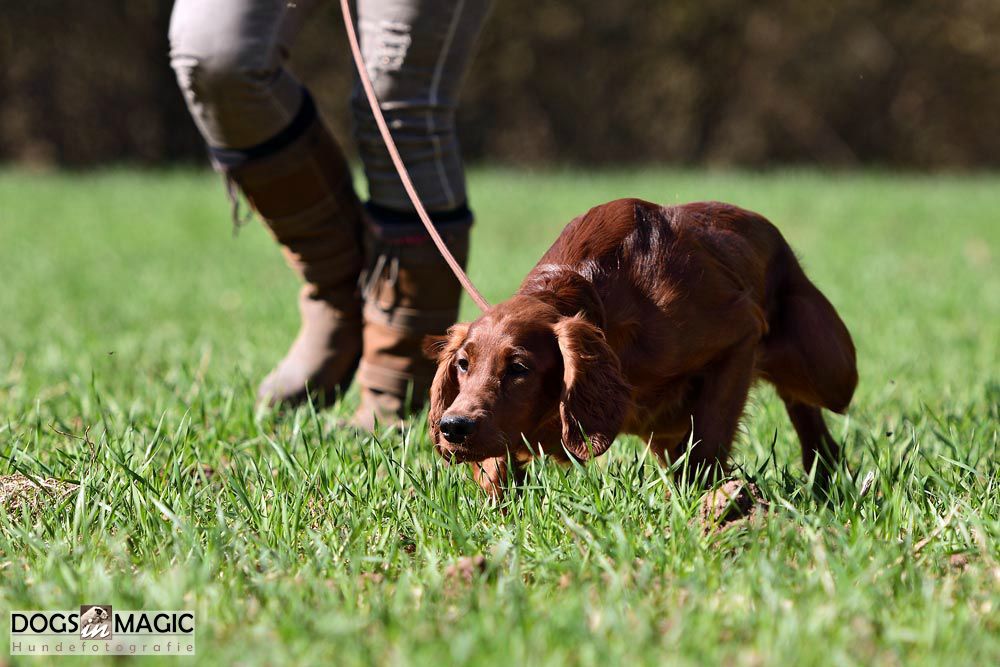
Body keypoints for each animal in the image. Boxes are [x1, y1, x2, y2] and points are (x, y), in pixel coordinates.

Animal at [425, 199, 857, 497]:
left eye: (519, 367)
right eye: (463, 364)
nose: (453, 427)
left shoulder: (741, 332)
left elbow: (708, 439)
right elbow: (497, 462)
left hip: (831, 372)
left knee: (809, 398)